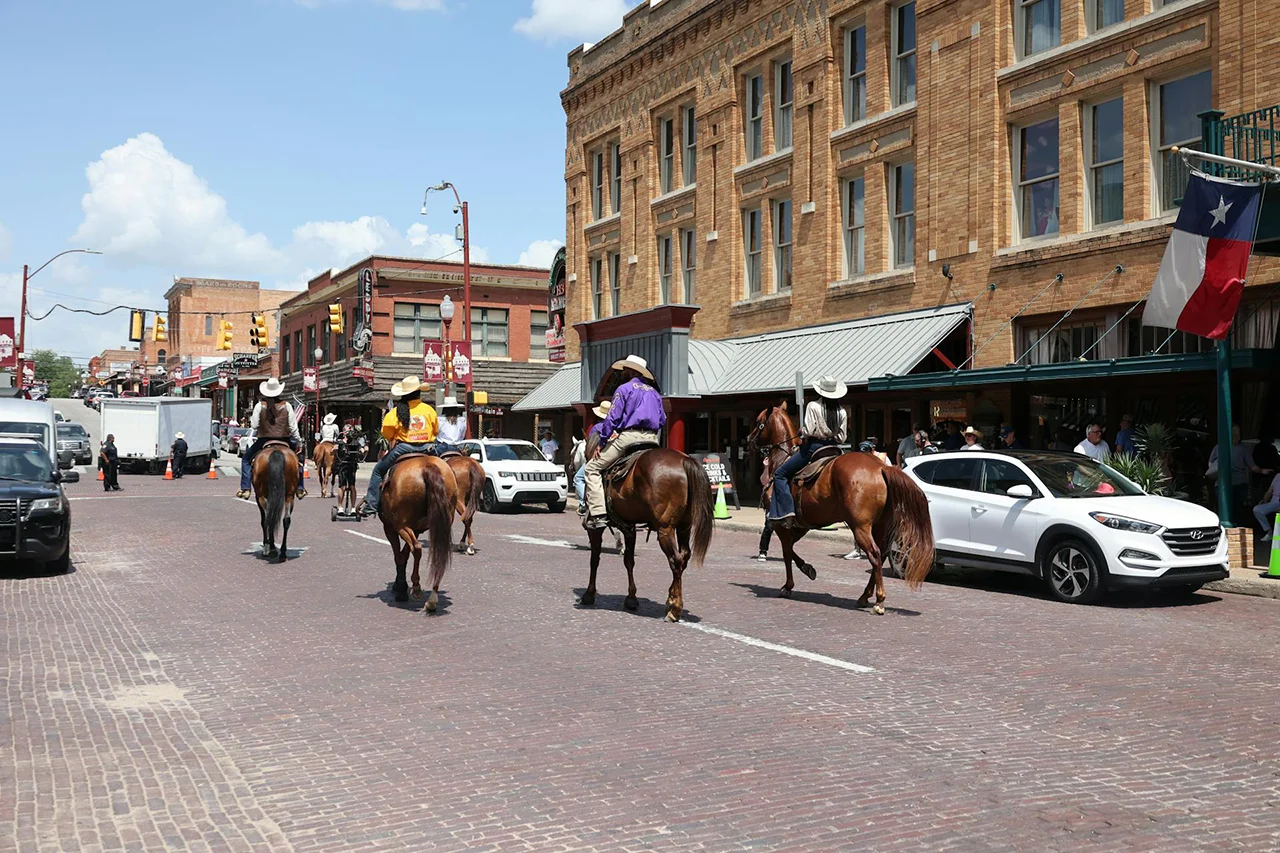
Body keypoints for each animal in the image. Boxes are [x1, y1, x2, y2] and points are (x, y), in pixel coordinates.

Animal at [376, 455, 458, 607]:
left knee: (417, 548)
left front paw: (400, 588)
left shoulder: (390, 528)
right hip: (441, 524)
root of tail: (427, 466)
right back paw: (432, 598)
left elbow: (399, 556)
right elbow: (404, 554)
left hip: (400, 525)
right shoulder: (416, 529)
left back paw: (416, 587)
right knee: (438, 552)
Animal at [583, 448, 716, 622]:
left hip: (665, 530)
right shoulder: (629, 528)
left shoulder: (594, 528)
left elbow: (594, 560)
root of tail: (684, 460)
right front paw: (631, 598)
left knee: (676, 561)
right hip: (684, 526)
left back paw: (675, 610)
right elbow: (629, 561)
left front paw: (589, 594)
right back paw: (671, 600)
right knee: (684, 556)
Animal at [747, 404, 936, 612]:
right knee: (882, 554)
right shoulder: (801, 525)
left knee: (875, 554)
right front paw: (808, 569)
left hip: (860, 527)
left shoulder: (780, 523)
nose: (749, 439)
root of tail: (881, 468)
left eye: (759, 422)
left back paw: (879, 601)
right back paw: (865, 596)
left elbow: (787, 552)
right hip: (880, 525)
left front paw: (789, 585)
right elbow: (792, 548)